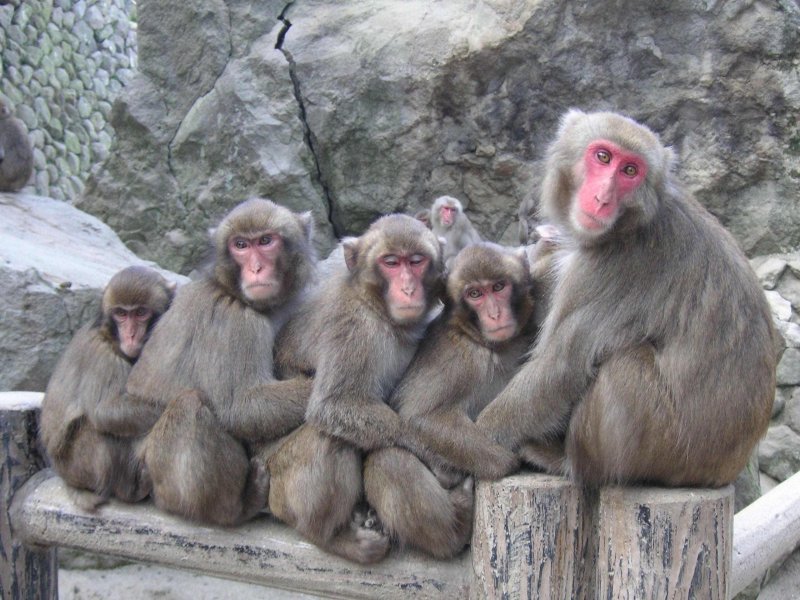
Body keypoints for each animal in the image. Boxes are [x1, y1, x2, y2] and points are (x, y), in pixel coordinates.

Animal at [40, 266, 174, 509]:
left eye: (140, 313)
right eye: (121, 314)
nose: (130, 335)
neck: (112, 337)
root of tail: (64, 476)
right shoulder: (102, 357)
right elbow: (106, 412)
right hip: (80, 465)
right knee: (99, 427)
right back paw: (131, 490)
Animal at [96, 198, 317, 526]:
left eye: (265, 241)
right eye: (241, 245)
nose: (255, 268)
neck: (234, 292)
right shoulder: (235, 321)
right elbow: (243, 407)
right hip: (155, 480)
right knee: (190, 406)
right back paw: (236, 507)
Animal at [266, 214, 446, 564]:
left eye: (416, 261)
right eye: (391, 262)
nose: (408, 287)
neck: (376, 309)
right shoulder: (353, 330)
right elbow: (333, 405)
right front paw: (433, 453)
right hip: (279, 478)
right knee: (329, 438)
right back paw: (330, 537)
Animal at [363, 241, 538, 558]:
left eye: (498, 287)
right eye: (475, 294)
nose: (495, 313)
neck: (490, 346)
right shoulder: (456, 356)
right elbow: (416, 416)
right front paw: (505, 462)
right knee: (388, 457)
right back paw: (457, 522)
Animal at [476, 109, 778, 488]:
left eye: (630, 171)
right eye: (604, 157)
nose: (603, 198)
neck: (626, 226)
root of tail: (726, 469)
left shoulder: (613, 271)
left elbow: (559, 368)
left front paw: (481, 439)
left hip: (669, 449)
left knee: (623, 367)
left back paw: (567, 462)